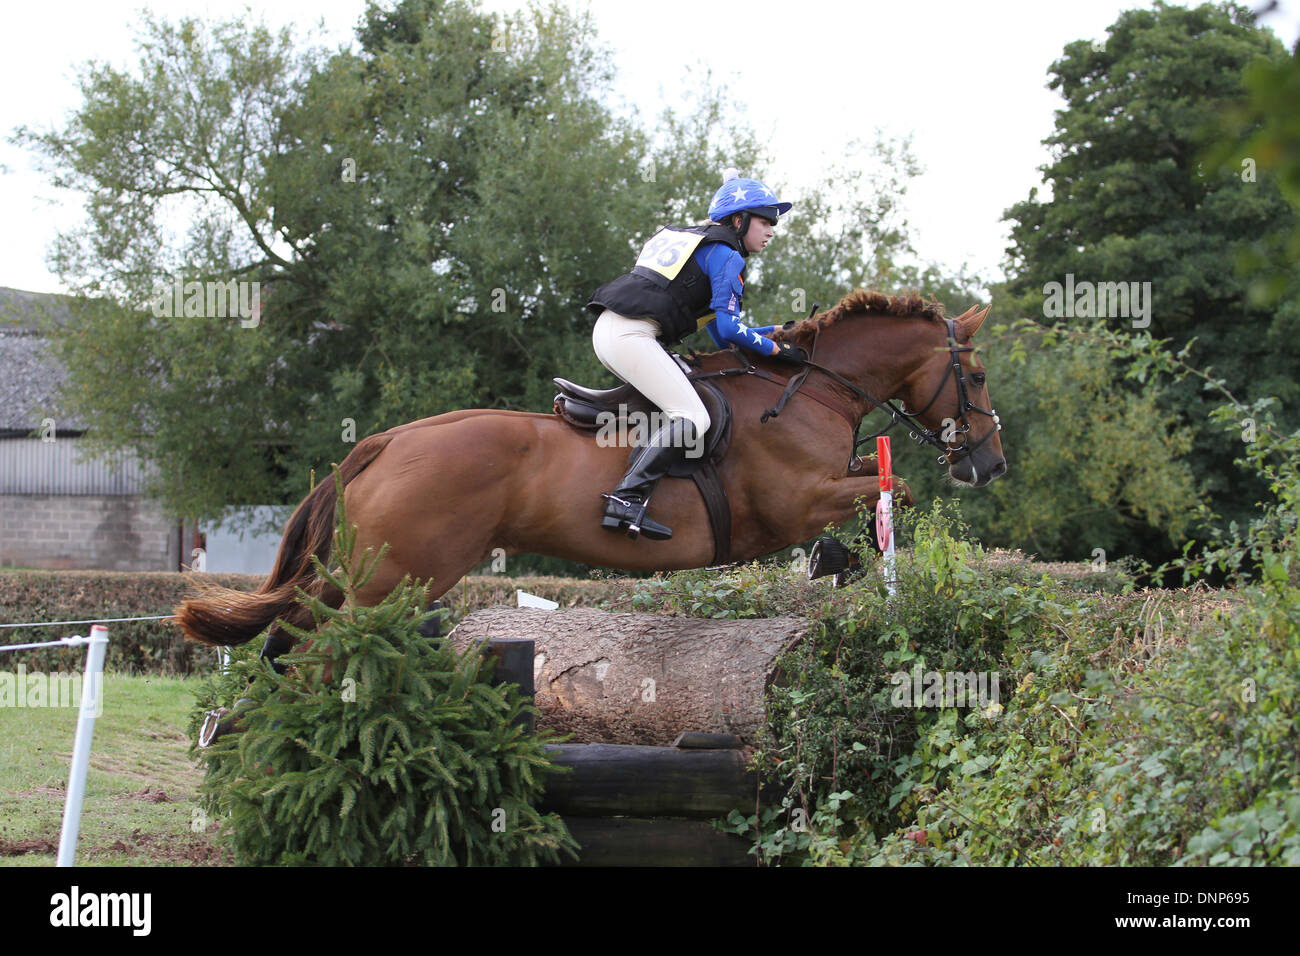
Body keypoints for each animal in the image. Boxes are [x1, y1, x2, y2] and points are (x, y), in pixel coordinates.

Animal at [172, 287, 1003, 655]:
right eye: (979, 375)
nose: (989, 464)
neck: (811, 387)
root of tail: (385, 441)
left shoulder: (824, 486)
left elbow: (880, 484)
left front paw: (841, 563)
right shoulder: (795, 501)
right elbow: (890, 490)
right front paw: (835, 560)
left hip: (366, 574)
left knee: (295, 632)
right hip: (395, 580)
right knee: (319, 646)